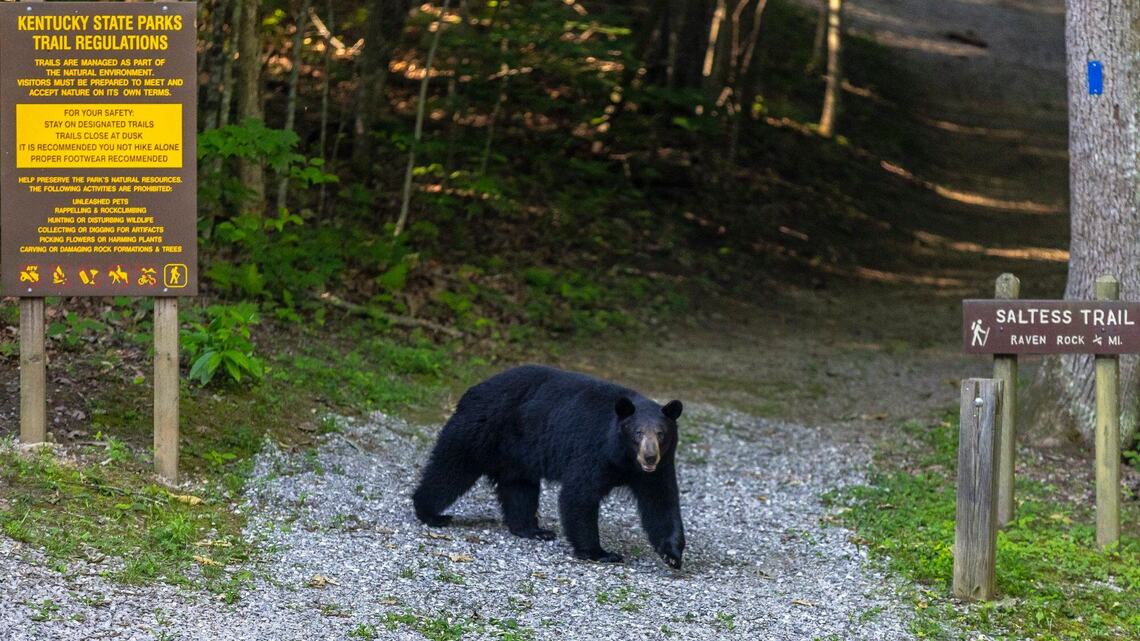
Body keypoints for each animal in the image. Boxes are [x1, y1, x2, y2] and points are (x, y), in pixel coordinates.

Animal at [412, 365, 686, 569]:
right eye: (638, 433)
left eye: (661, 434)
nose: (649, 457)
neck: (624, 458)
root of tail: (473, 389)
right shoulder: (593, 451)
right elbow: (579, 495)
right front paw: (600, 552)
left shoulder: (659, 467)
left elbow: (660, 501)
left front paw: (672, 554)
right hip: (481, 430)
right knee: (451, 470)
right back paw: (430, 513)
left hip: (516, 453)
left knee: (519, 489)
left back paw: (533, 529)